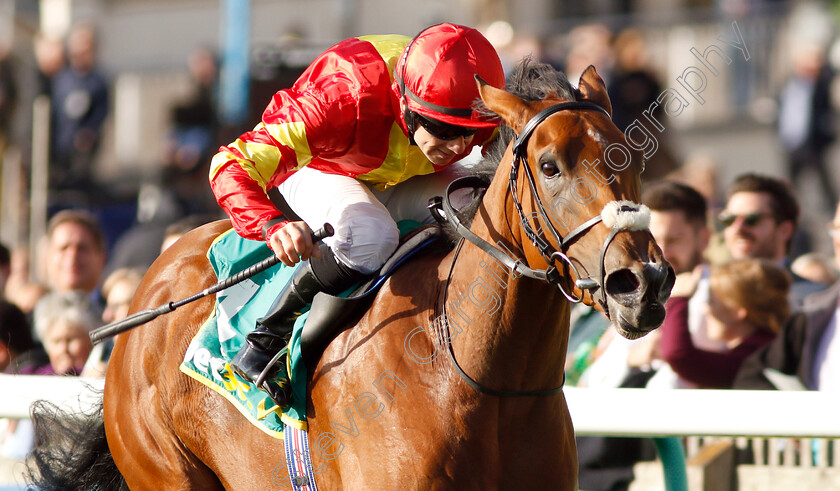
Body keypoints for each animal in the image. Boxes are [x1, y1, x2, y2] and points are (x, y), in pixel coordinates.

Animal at [31, 62, 668, 491]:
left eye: (631, 157)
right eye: (550, 165)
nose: (641, 282)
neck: (473, 374)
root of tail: (152, 286)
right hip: (166, 471)